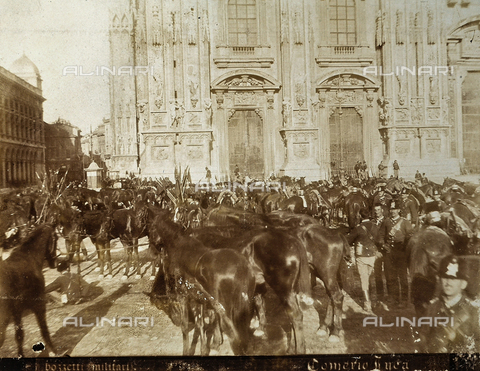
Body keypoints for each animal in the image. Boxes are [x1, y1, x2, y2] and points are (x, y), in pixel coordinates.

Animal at [0, 224, 59, 358]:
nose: (55, 263)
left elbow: (19, 335)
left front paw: (20, 356)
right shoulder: (39, 304)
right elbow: (44, 329)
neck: (29, 257)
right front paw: (53, 351)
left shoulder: (17, 311)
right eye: (56, 238)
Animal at [148, 211, 256, 356]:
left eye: (150, 229)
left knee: (234, 333)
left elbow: (185, 326)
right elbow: (201, 325)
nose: (151, 253)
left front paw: (187, 351)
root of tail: (241, 268)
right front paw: (205, 349)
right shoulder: (198, 298)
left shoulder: (183, 296)